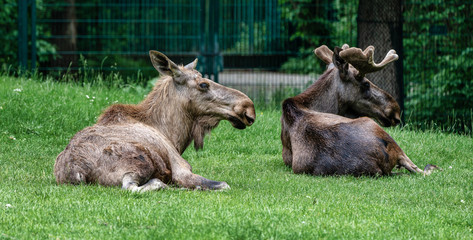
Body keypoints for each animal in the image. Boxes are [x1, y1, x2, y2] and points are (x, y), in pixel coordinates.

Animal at [53, 50, 256, 191]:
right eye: (203, 84)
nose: (248, 108)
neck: (173, 134)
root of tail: (77, 171)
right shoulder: (181, 168)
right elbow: (223, 184)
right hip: (140, 161)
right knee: (132, 187)